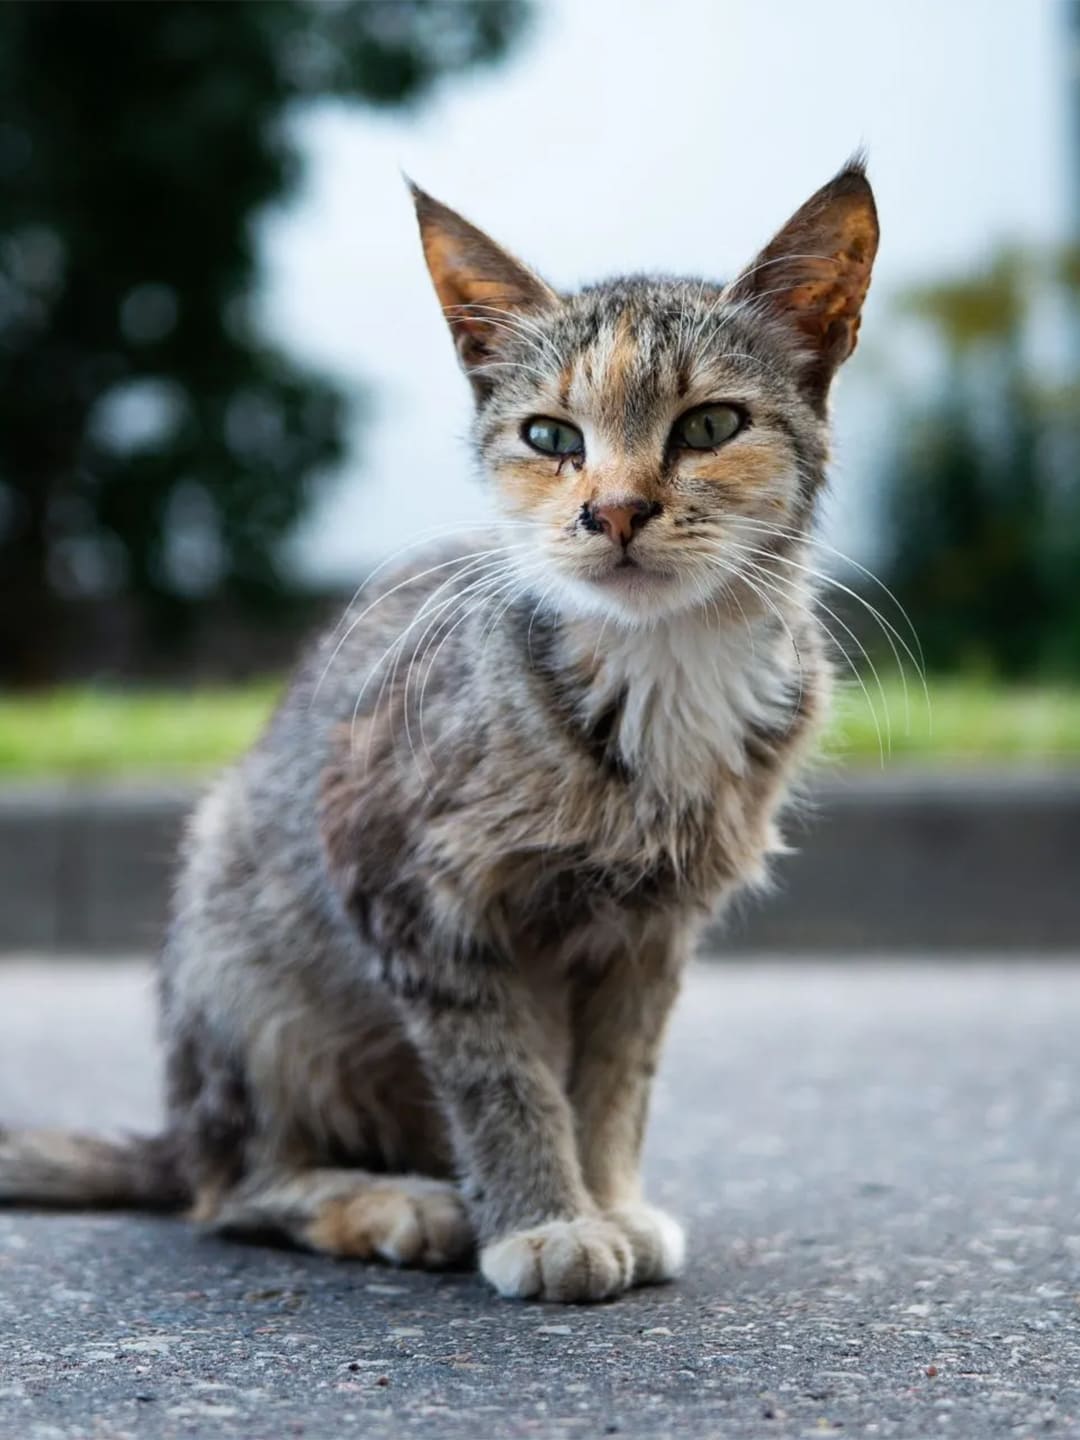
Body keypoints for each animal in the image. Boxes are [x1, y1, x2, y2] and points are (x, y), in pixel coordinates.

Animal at [0, 160, 881, 1307]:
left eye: (708, 427)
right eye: (551, 437)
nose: (615, 511)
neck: (653, 673)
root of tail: (181, 1127)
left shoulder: (651, 935)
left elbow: (614, 1080)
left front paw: (607, 1199)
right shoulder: (404, 889)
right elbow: (501, 1077)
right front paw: (546, 1221)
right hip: (247, 965)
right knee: (231, 1191)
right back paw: (391, 1203)